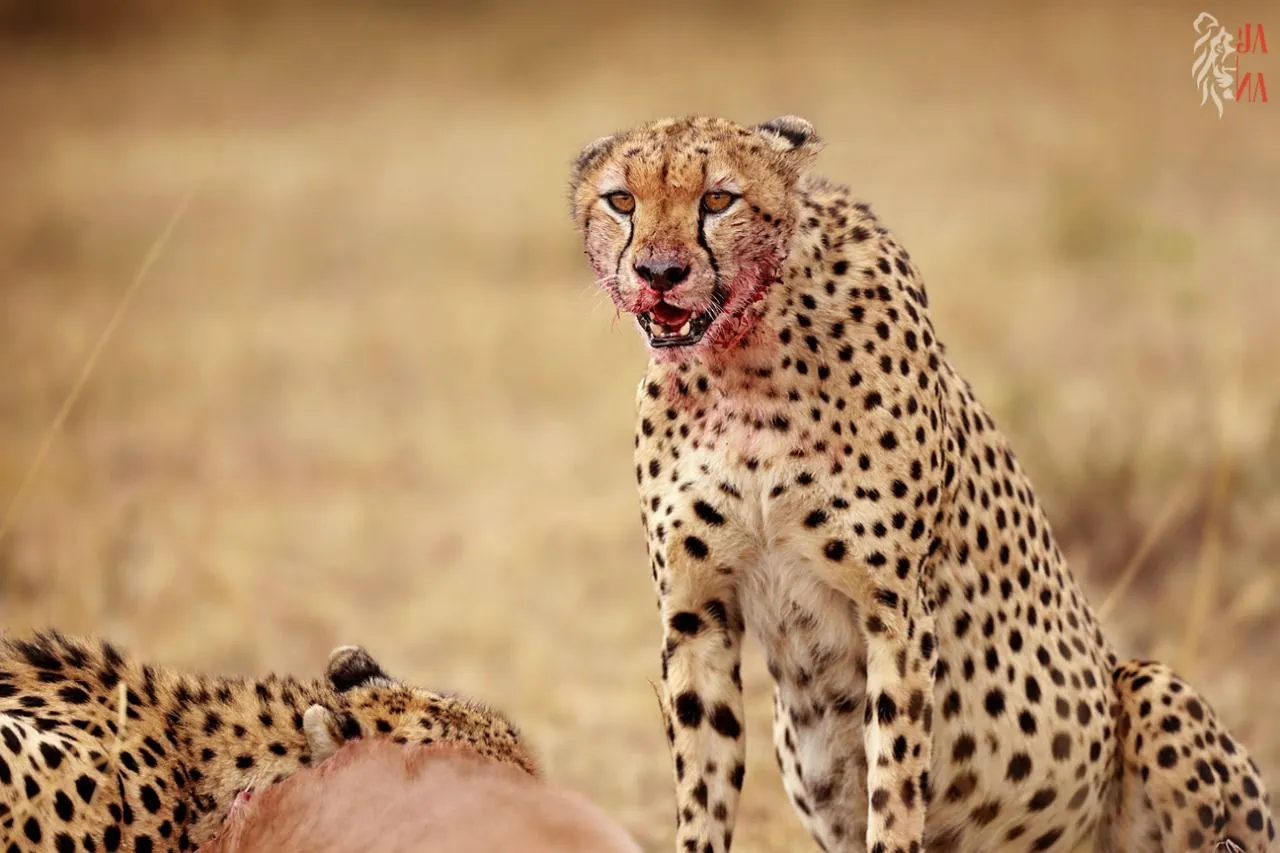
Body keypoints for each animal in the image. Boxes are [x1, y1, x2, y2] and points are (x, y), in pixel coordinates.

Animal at [568, 113, 1275, 853]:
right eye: (621, 201)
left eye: (718, 199)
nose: (659, 273)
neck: (742, 364)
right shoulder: (696, 613)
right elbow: (703, 785)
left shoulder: (896, 611)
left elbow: (896, 782)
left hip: (1152, 686)